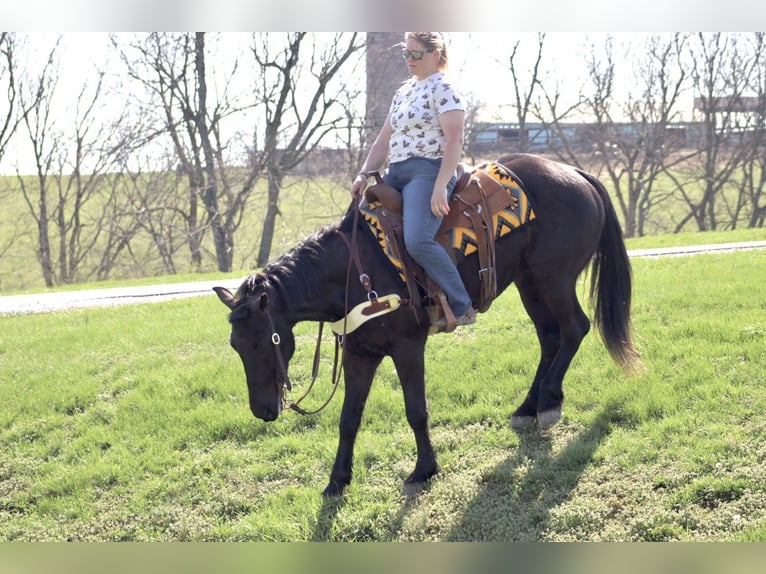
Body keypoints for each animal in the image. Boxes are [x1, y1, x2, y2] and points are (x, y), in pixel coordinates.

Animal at [214, 153, 641, 497]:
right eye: (235, 345)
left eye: (262, 341)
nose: (263, 411)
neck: (357, 270)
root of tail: (575, 172)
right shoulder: (359, 354)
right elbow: (349, 419)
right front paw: (337, 481)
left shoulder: (407, 347)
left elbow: (416, 410)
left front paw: (423, 470)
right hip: (530, 283)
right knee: (549, 338)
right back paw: (528, 407)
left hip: (554, 279)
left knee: (573, 328)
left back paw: (550, 402)